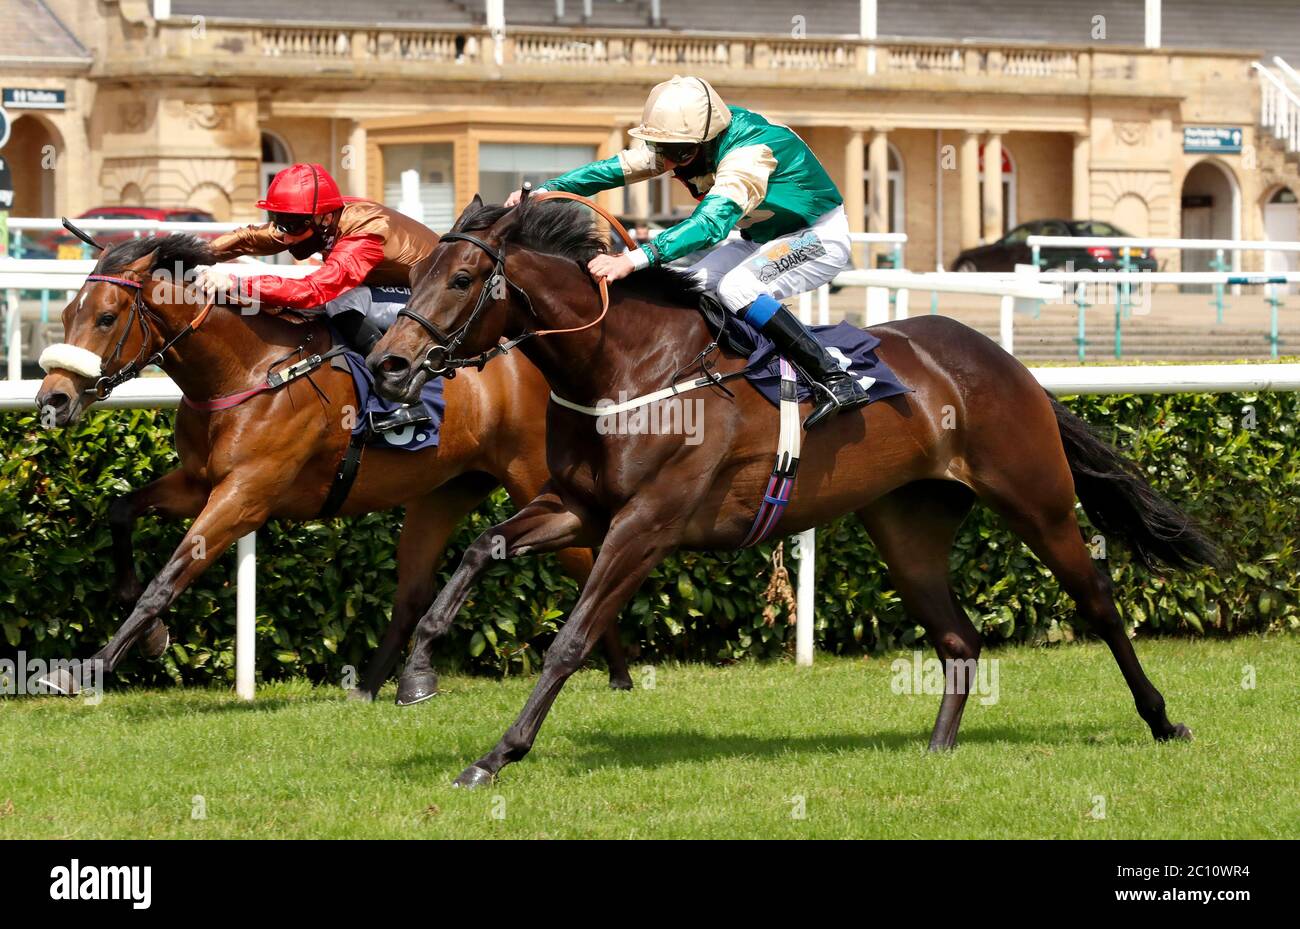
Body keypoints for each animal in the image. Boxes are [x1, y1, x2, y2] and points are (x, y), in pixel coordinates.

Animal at [32, 232, 631, 696]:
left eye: (106, 318)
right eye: (66, 313)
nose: (53, 399)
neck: (248, 371)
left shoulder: (244, 497)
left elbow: (166, 580)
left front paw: (86, 669)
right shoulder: (198, 483)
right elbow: (120, 511)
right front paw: (152, 637)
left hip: (534, 480)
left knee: (587, 561)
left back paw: (621, 675)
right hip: (447, 490)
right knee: (412, 590)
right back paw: (375, 687)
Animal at [371, 197, 1222, 789]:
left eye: (461, 278)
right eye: (410, 277)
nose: (388, 364)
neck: (629, 365)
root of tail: (1009, 365)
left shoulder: (646, 525)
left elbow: (570, 641)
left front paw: (496, 754)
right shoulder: (581, 506)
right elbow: (482, 546)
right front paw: (416, 670)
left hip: (1036, 500)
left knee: (1099, 602)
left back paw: (1163, 720)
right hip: (907, 529)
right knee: (960, 639)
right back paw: (937, 748)